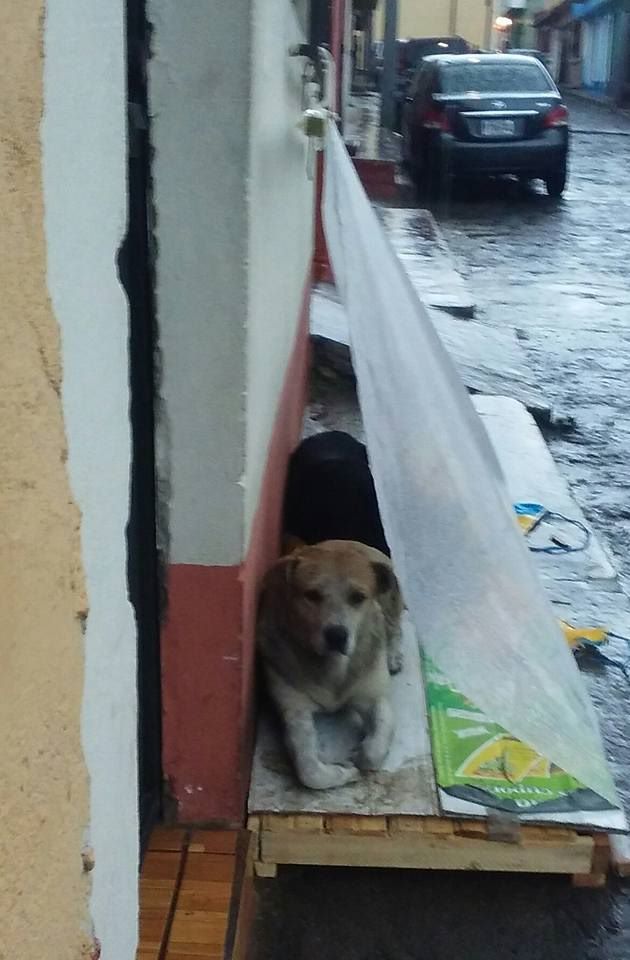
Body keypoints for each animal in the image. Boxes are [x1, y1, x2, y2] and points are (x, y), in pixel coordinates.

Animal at [256, 540, 404, 788]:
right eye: (312, 595)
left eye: (358, 597)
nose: (336, 635)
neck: (333, 669)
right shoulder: (295, 710)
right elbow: (309, 770)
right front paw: (343, 772)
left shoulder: (373, 697)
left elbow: (376, 745)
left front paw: (361, 756)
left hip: (390, 597)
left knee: (394, 626)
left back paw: (393, 654)